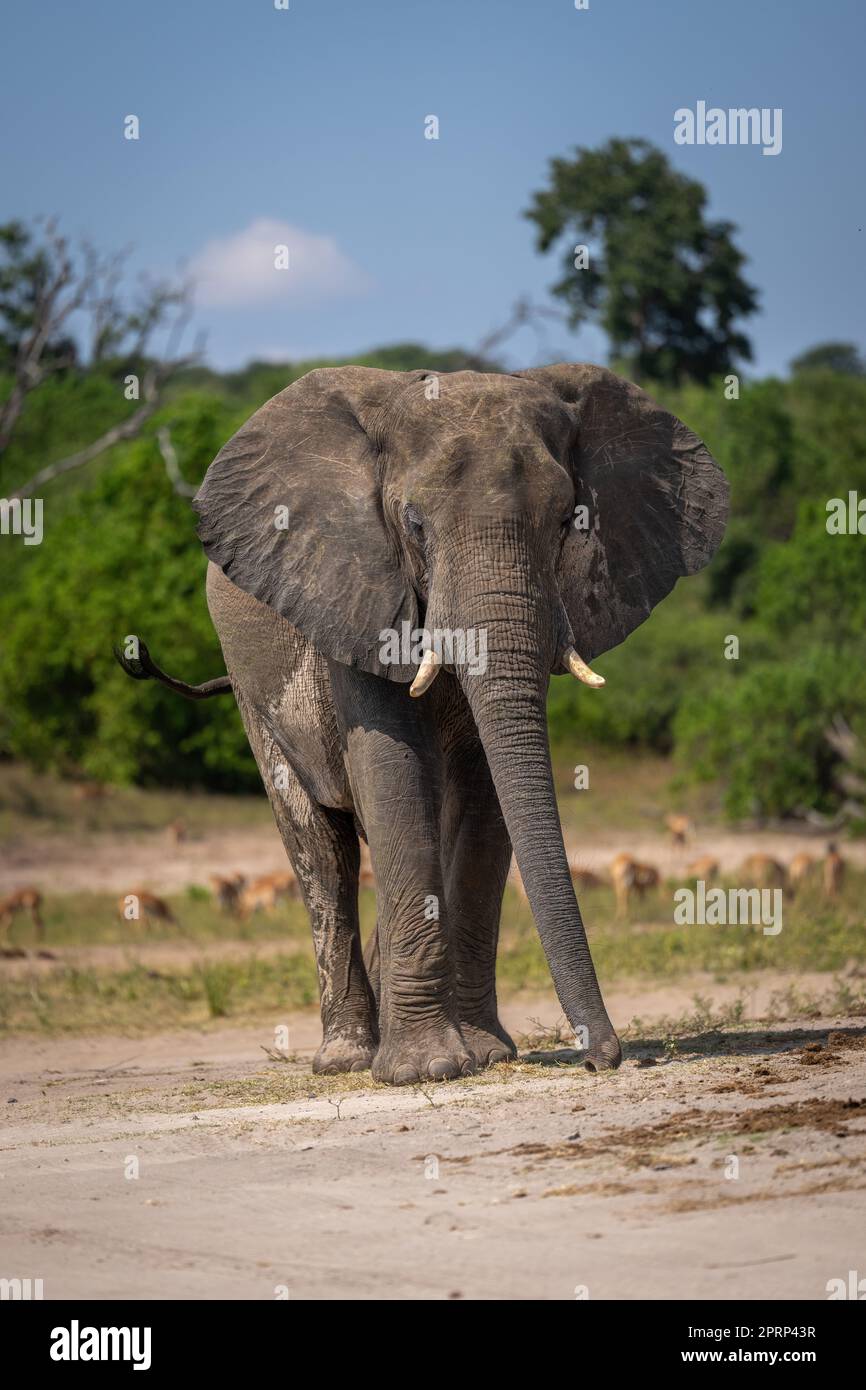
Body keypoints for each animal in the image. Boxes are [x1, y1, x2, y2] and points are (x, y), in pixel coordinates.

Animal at [119, 363, 728, 1084]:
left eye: (568, 523)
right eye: (413, 523)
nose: (603, 1057)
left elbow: (485, 788)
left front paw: (483, 1055)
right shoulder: (354, 589)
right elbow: (393, 767)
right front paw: (426, 1069)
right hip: (248, 681)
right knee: (321, 849)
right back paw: (348, 1058)